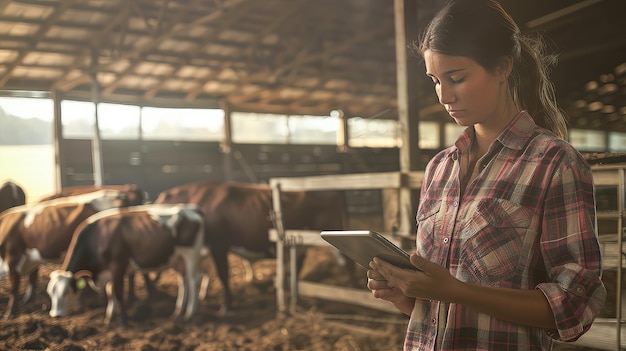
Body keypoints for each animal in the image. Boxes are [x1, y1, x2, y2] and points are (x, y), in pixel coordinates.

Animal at [0, 188, 145, 320]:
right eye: (50, 292)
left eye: (66, 292)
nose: (56, 315)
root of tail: (121, 195)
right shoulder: (31, 259)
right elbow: (32, 280)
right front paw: (27, 301)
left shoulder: (12, 259)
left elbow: (14, 288)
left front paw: (9, 313)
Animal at [48, 204, 205, 328]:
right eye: (50, 292)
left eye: (66, 292)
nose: (55, 315)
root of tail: (191, 208)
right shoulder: (108, 271)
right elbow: (110, 293)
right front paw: (109, 317)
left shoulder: (117, 266)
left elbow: (118, 293)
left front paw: (123, 321)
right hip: (178, 259)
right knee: (183, 282)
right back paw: (178, 312)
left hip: (191, 255)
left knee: (193, 281)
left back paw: (189, 314)